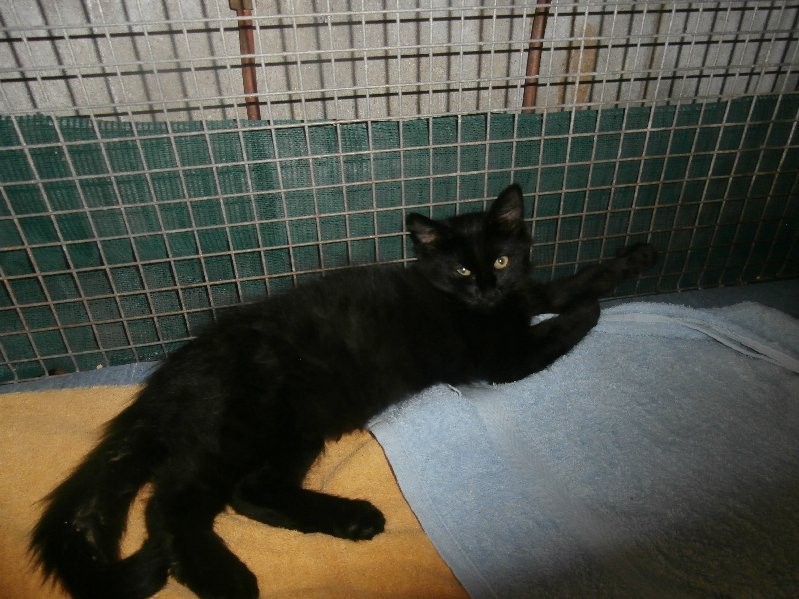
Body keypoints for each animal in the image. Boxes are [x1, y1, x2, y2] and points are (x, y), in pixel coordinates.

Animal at [30, 184, 657, 599]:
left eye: (501, 258)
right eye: (460, 271)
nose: (486, 287)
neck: (477, 308)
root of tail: (167, 380)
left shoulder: (520, 297)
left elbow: (560, 285)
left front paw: (628, 262)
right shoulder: (503, 358)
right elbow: (560, 323)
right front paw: (592, 308)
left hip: (296, 425)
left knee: (251, 492)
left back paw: (352, 519)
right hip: (240, 423)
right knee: (173, 502)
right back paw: (226, 579)